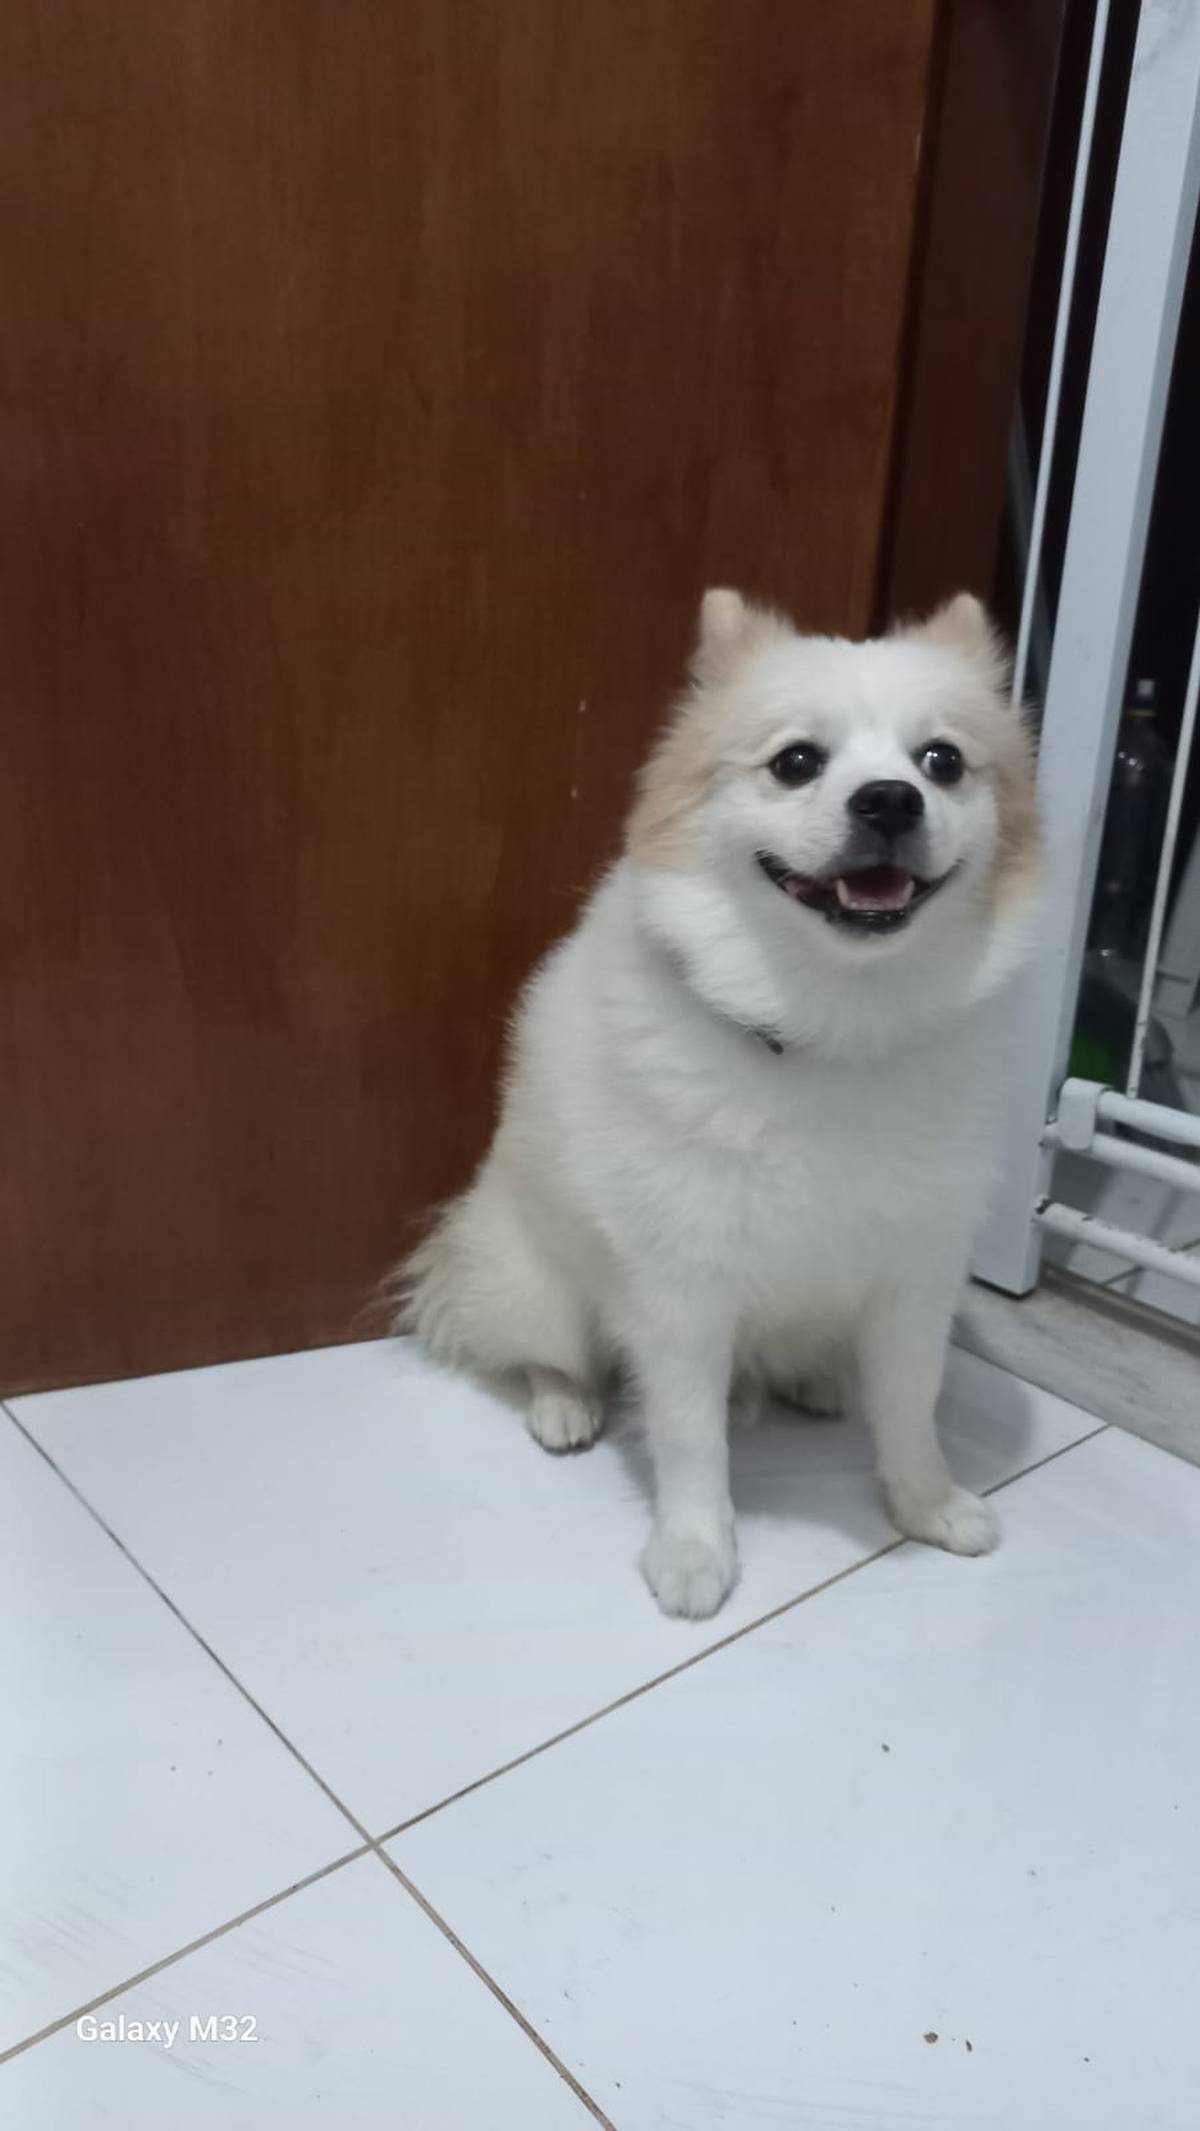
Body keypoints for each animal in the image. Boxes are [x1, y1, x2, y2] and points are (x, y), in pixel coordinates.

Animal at [397, 590, 1041, 1617]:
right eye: (797, 762)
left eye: (941, 761)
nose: (889, 798)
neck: (831, 1029)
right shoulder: (682, 1286)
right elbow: (691, 1435)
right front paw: (695, 1549)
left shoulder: (916, 1272)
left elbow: (911, 1405)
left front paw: (926, 1504)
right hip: (537, 1285)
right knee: (550, 1351)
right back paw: (565, 1401)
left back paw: (812, 1383)